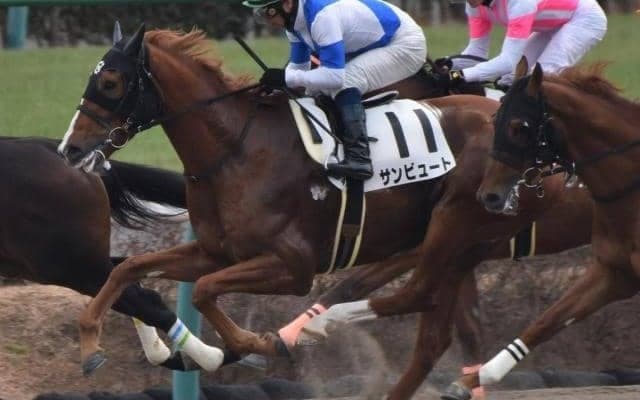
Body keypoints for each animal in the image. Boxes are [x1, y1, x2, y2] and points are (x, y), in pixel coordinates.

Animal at [441, 59, 640, 400]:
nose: (488, 196)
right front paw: (469, 381)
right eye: (495, 120)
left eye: (519, 127)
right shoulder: (615, 272)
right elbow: (544, 323)